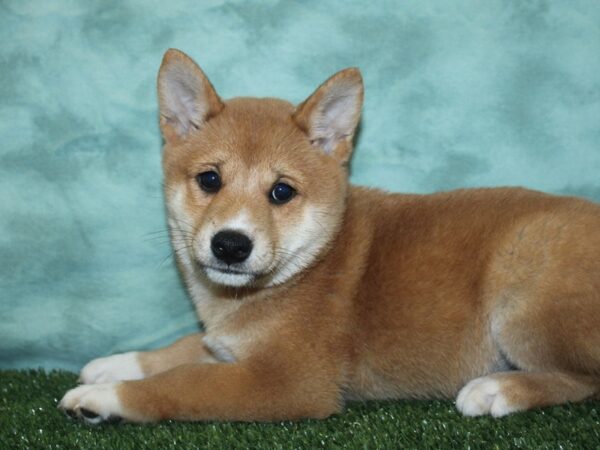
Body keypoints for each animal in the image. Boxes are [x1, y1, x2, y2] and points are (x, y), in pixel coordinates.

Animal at [57, 50, 600, 426]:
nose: (230, 244)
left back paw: (497, 390)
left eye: (281, 191)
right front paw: (116, 365)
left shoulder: (285, 381)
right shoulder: (227, 344)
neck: (308, 266)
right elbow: (183, 348)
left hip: (525, 298)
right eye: (209, 179)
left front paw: (103, 398)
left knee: (584, 379)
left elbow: (181, 383)